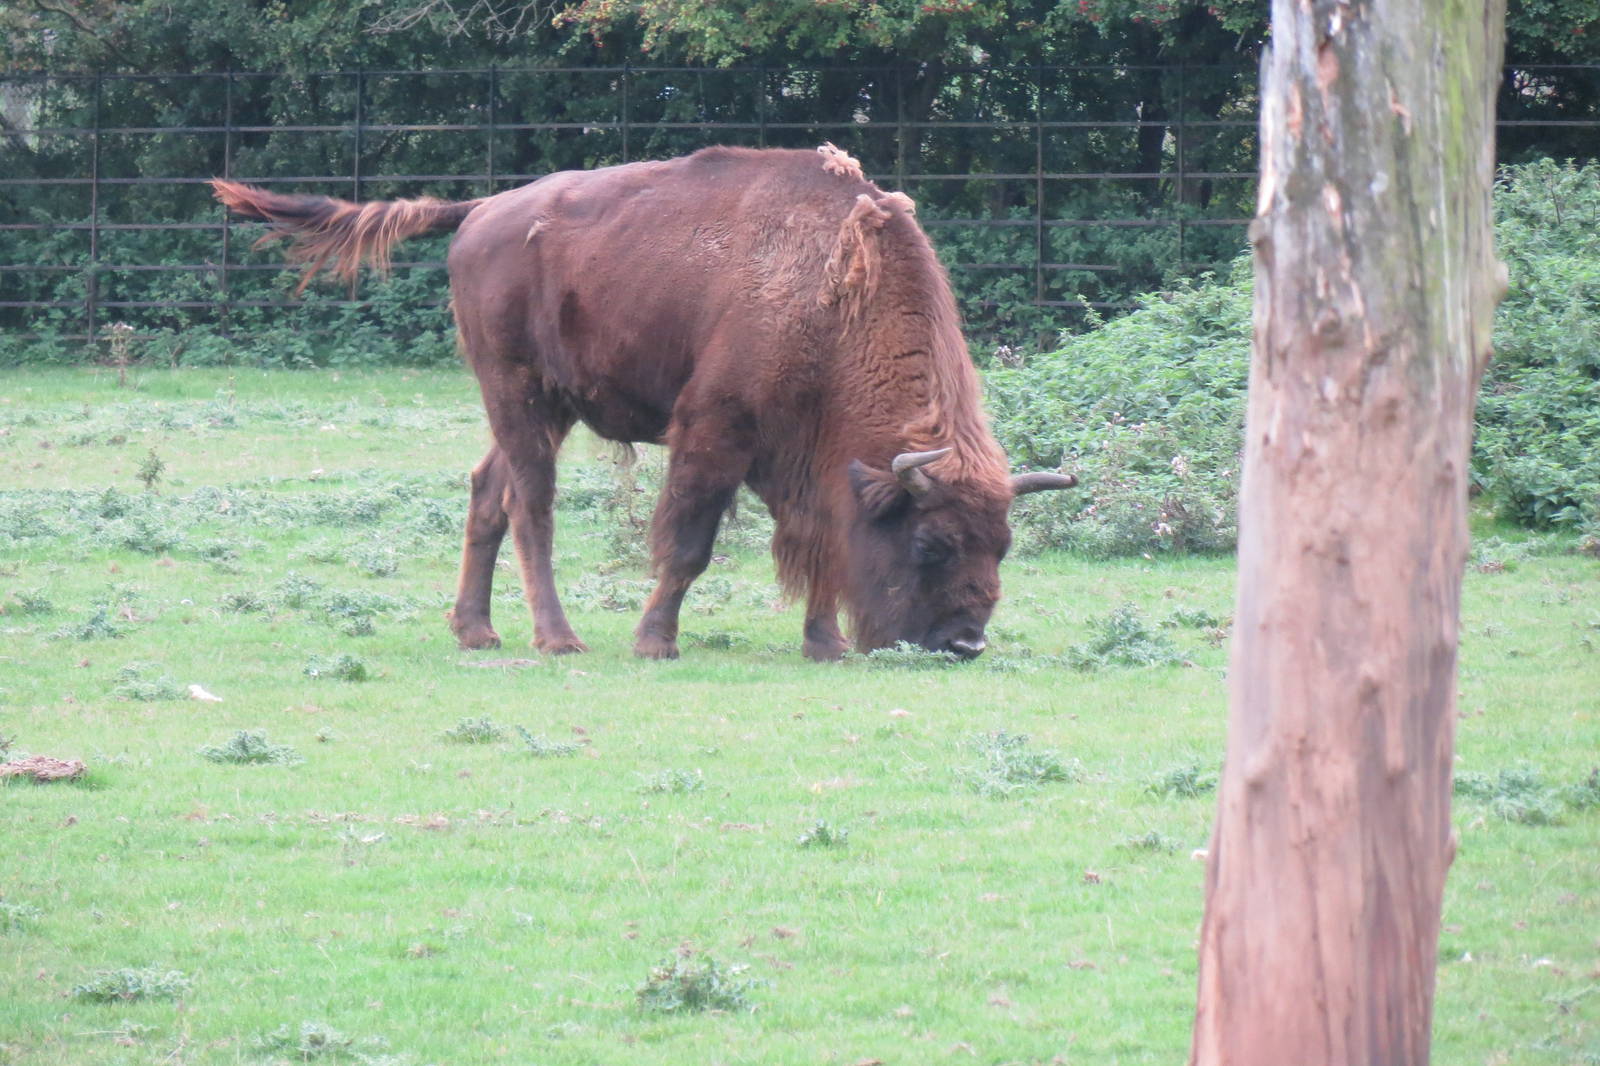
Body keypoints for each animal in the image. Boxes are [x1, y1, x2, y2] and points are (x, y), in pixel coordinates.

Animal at [214, 144, 1074, 661]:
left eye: (1002, 546)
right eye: (931, 544)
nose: (964, 643)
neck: (831, 295)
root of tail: (483, 210)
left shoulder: (801, 462)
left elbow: (817, 545)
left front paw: (823, 643)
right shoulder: (715, 433)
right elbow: (689, 545)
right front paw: (654, 641)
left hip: (551, 402)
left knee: (486, 491)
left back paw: (477, 631)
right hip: (516, 391)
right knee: (529, 506)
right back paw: (557, 639)